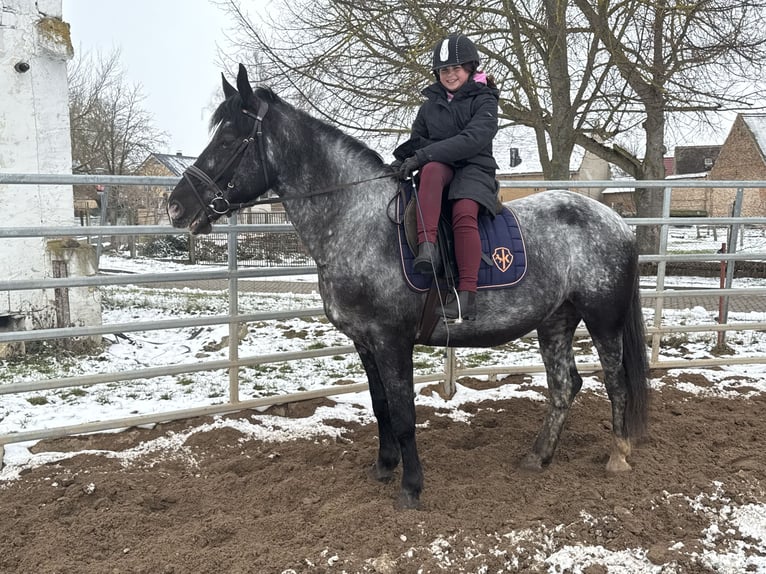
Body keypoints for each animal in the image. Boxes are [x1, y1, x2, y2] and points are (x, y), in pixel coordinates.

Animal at [166, 64, 648, 512]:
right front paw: (384, 466)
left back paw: (619, 455)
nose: (175, 206)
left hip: (603, 319)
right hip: (555, 320)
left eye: (229, 139)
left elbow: (403, 414)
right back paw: (538, 455)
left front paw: (411, 487)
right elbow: (381, 407)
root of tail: (617, 222)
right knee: (565, 384)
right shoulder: (364, 341)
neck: (358, 221)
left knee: (615, 382)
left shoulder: (392, 340)